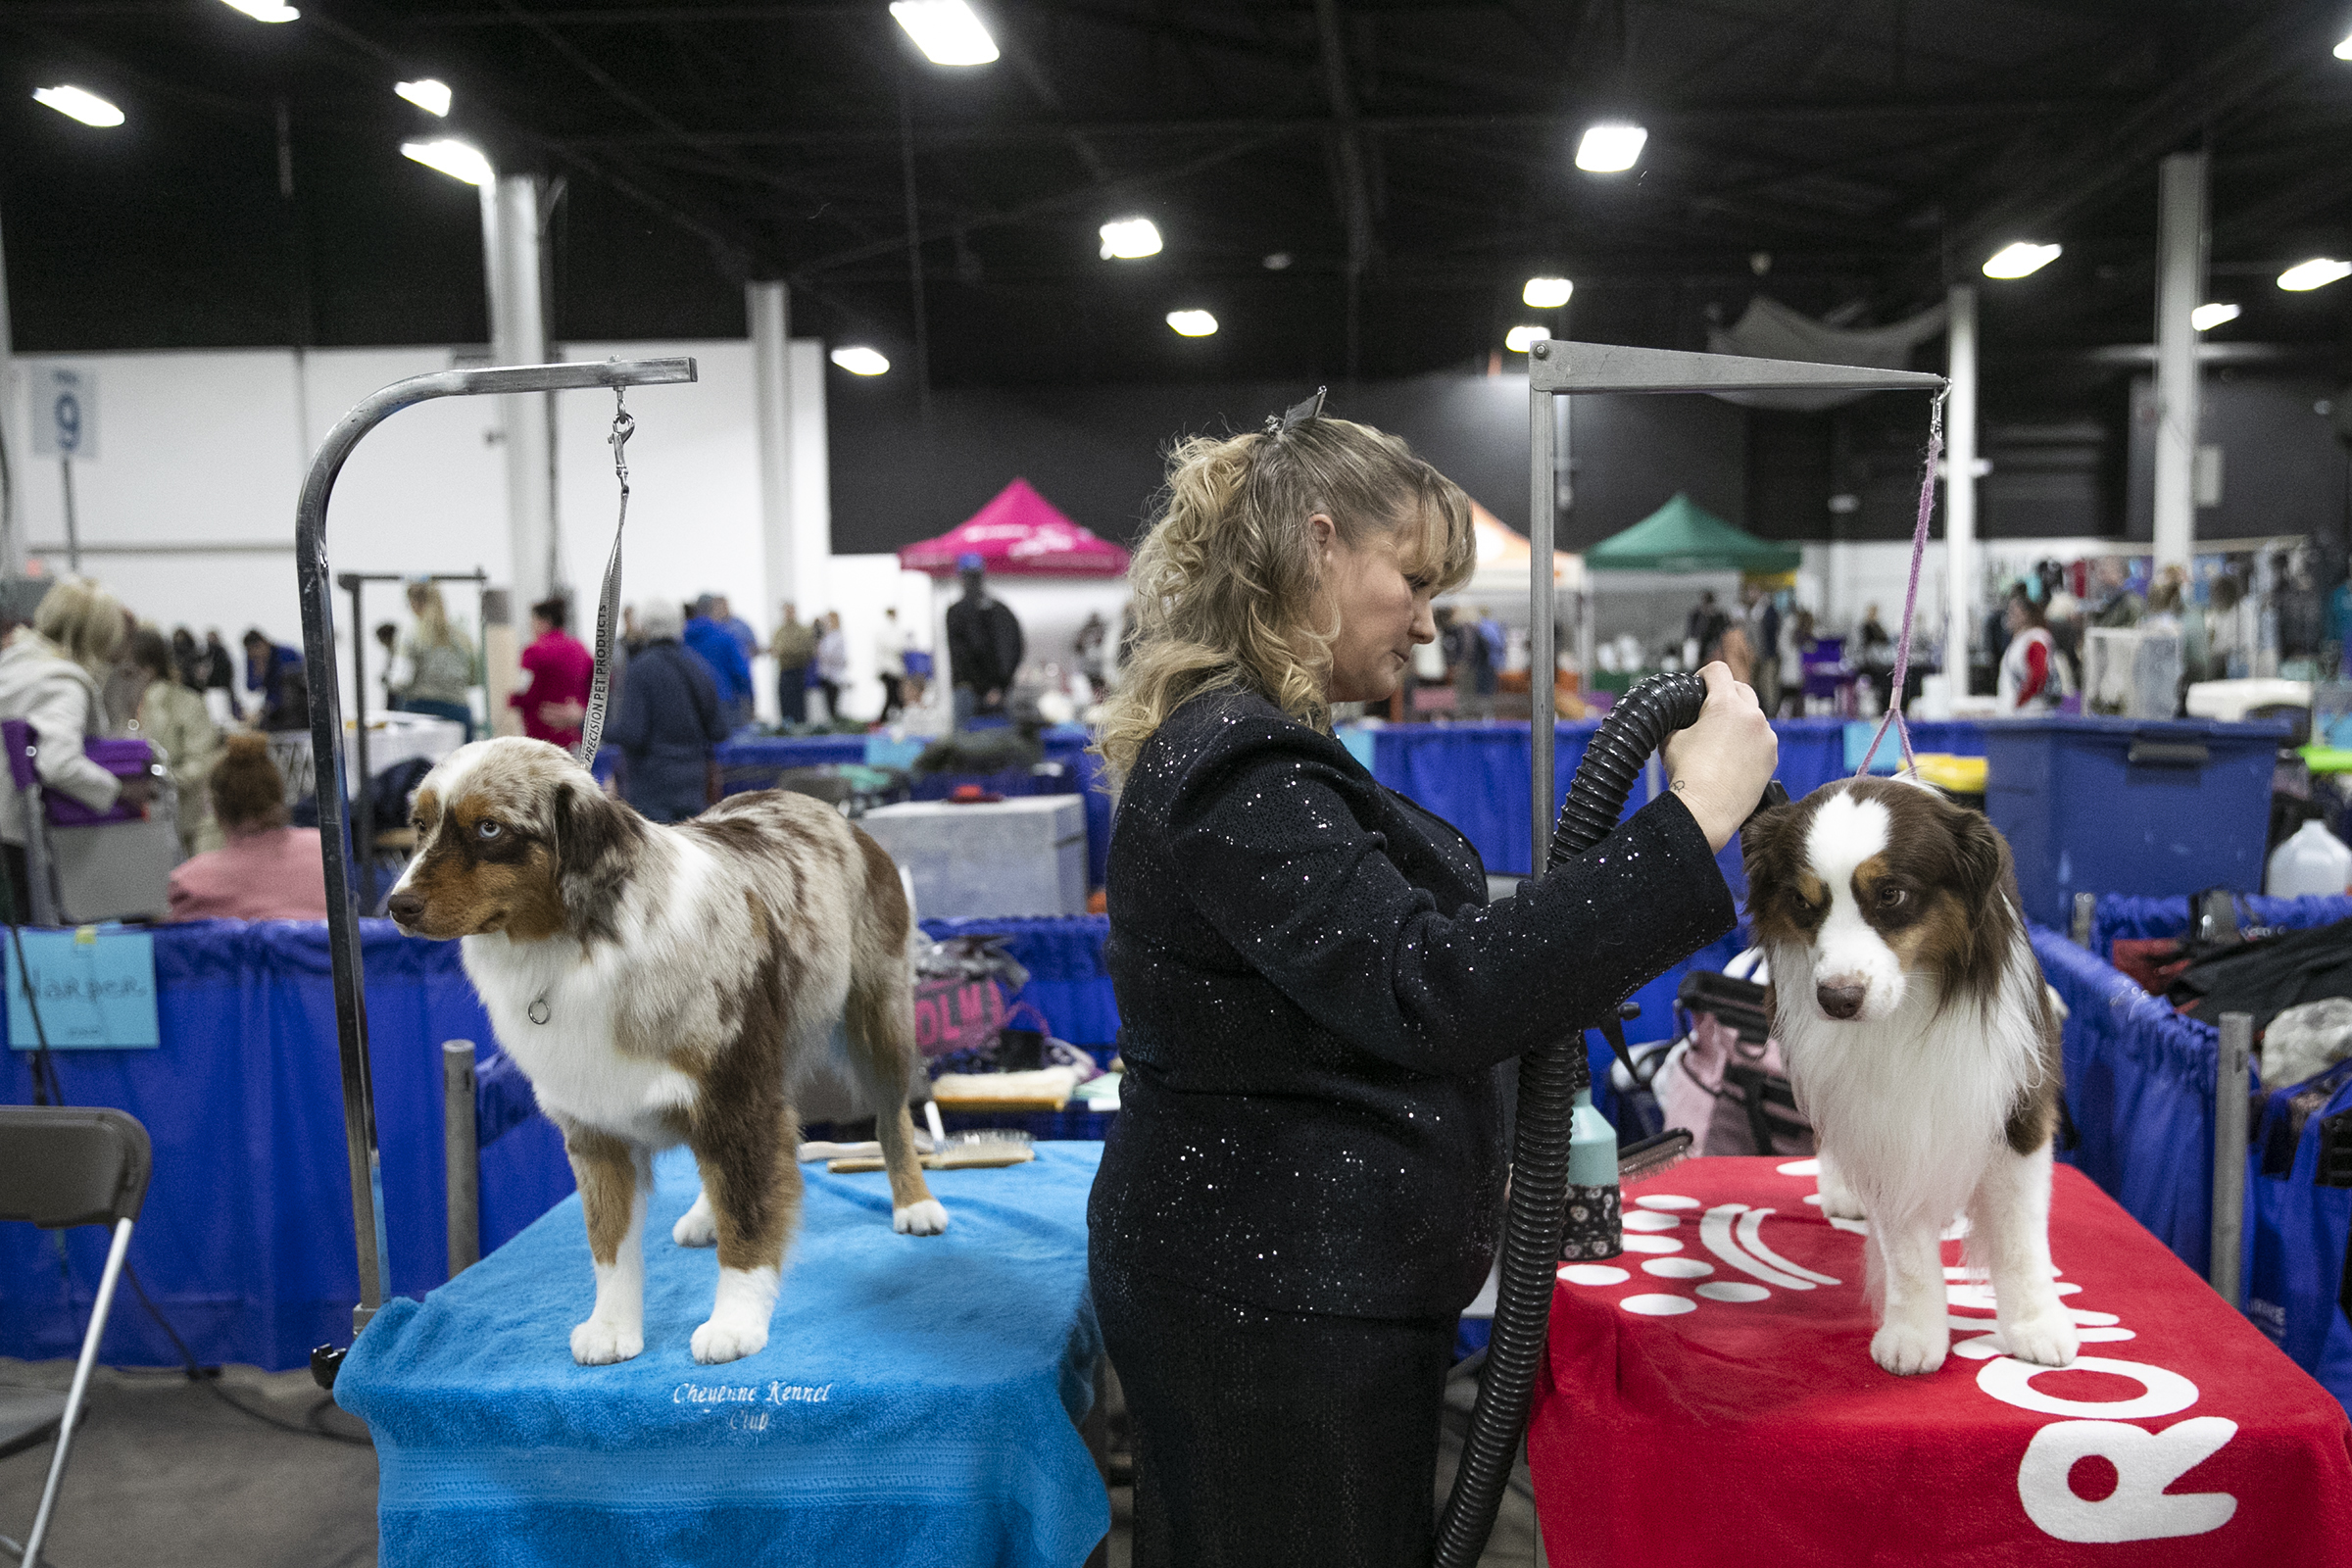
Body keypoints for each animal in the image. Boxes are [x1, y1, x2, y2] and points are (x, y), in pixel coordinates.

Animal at [380, 743, 941, 1363]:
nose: (397, 905)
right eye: (419, 825)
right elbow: (609, 1243)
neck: (577, 947)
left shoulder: (739, 1097)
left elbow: (749, 1219)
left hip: (877, 1018)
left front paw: (735, 1323)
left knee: (891, 1116)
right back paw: (704, 1215)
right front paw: (611, 1327)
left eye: (488, 827)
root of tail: (825, 809)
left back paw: (914, 1203)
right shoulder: (595, 1130)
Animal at [1740, 780, 2070, 1382]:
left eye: (1891, 894)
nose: (1838, 1000)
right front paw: (1915, 1333)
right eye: (1802, 902)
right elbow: (1906, 1249)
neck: (1915, 1002)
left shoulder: (2018, 1098)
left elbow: (2019, 1236)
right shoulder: (1881, 1124)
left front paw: (2035, 1325)